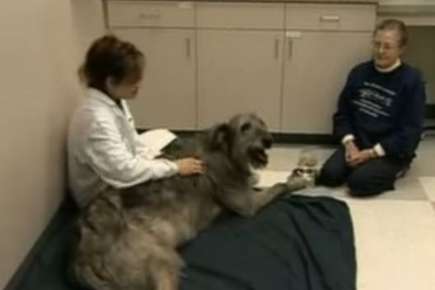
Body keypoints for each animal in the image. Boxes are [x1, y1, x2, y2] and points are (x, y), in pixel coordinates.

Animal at [70, 113, 310, 290]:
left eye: (262, 123)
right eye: (245, 127)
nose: (270, 140)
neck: (225, 152)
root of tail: (83, 254)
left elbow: (267, 179)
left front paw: (294, 174)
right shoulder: (247, 204)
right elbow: (279, 186)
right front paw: (298, 181)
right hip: (163, 262)